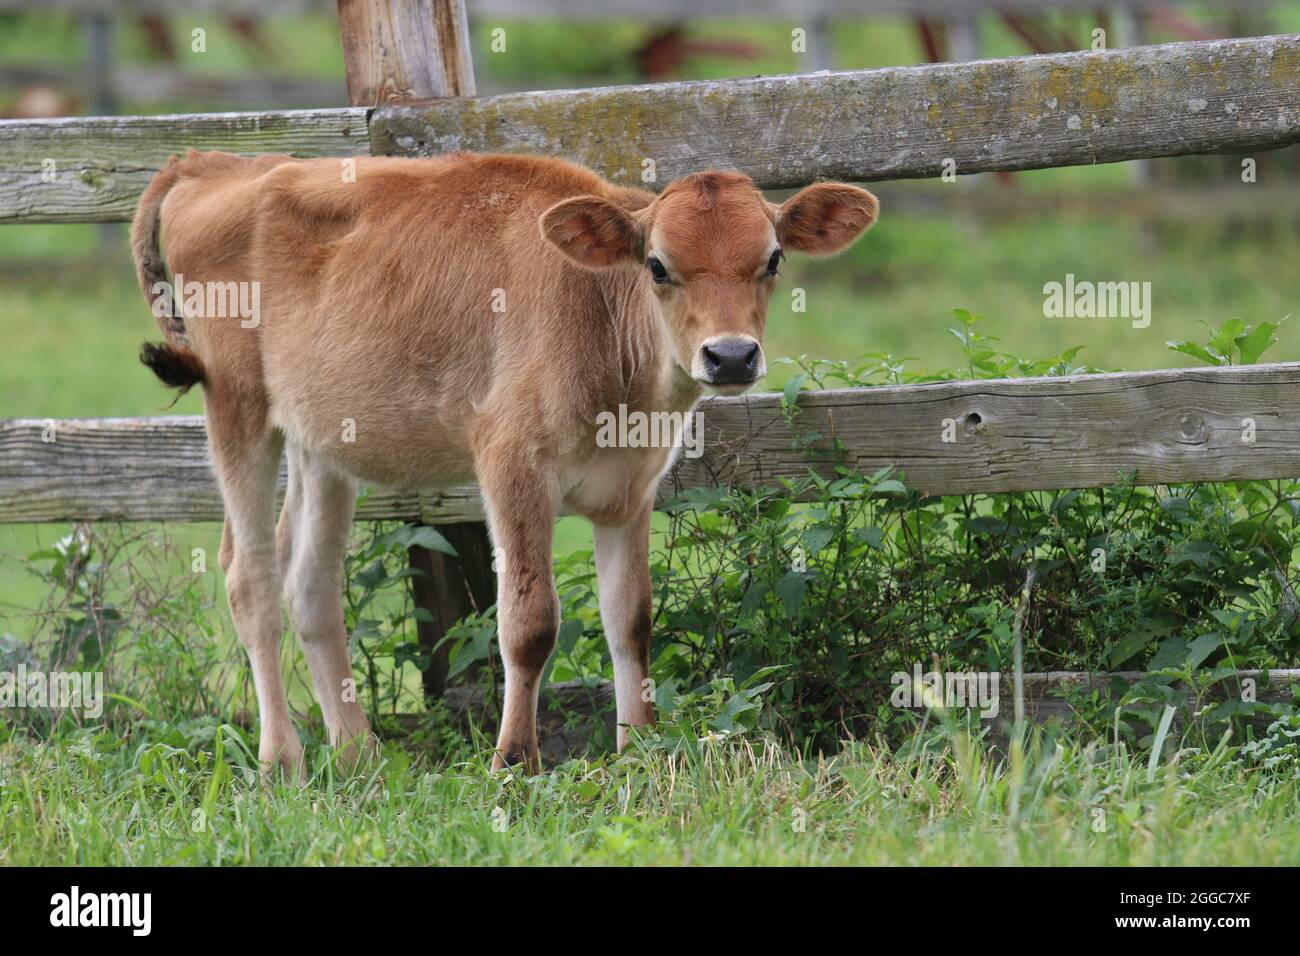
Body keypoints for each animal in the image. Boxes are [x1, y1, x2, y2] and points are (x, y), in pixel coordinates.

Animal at [131, 149, 878, 776]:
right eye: (658, 265)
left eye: (773, 259)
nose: (730, 356)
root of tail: (214, 160)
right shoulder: (511, 461)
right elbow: (529, 621)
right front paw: (514, 761)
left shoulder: (633, 486)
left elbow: (631, 617)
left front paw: (638, 748)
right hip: (236, 404)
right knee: (248, 577)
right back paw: (281, 760)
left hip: (321, 441)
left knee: (309, 582)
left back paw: (359, 753)